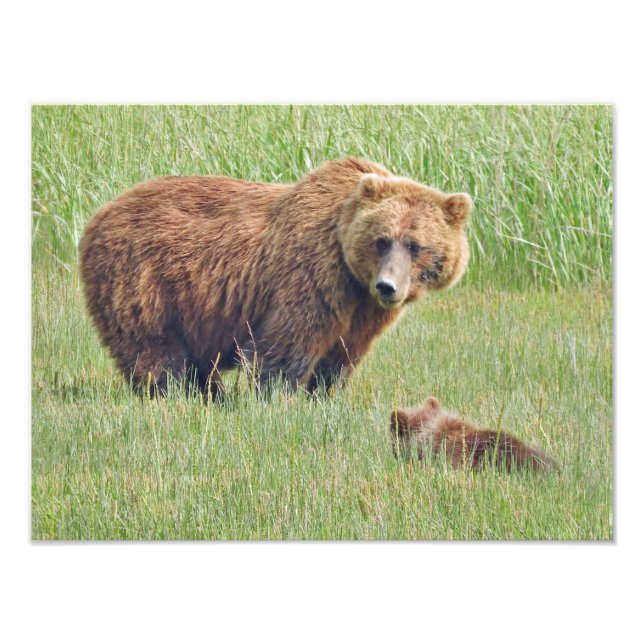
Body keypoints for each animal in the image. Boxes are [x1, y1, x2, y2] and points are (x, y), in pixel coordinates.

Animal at [79, 158, 472, 397]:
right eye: (382, 240)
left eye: (416, 245)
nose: (387, 287)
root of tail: (98, 215)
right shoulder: (313, 276)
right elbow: (285, 345)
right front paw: (276, 398)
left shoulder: (363, 312)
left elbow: (342, 355)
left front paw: (325, 394)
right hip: (142, 279)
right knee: (155, 349)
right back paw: (177, 393)